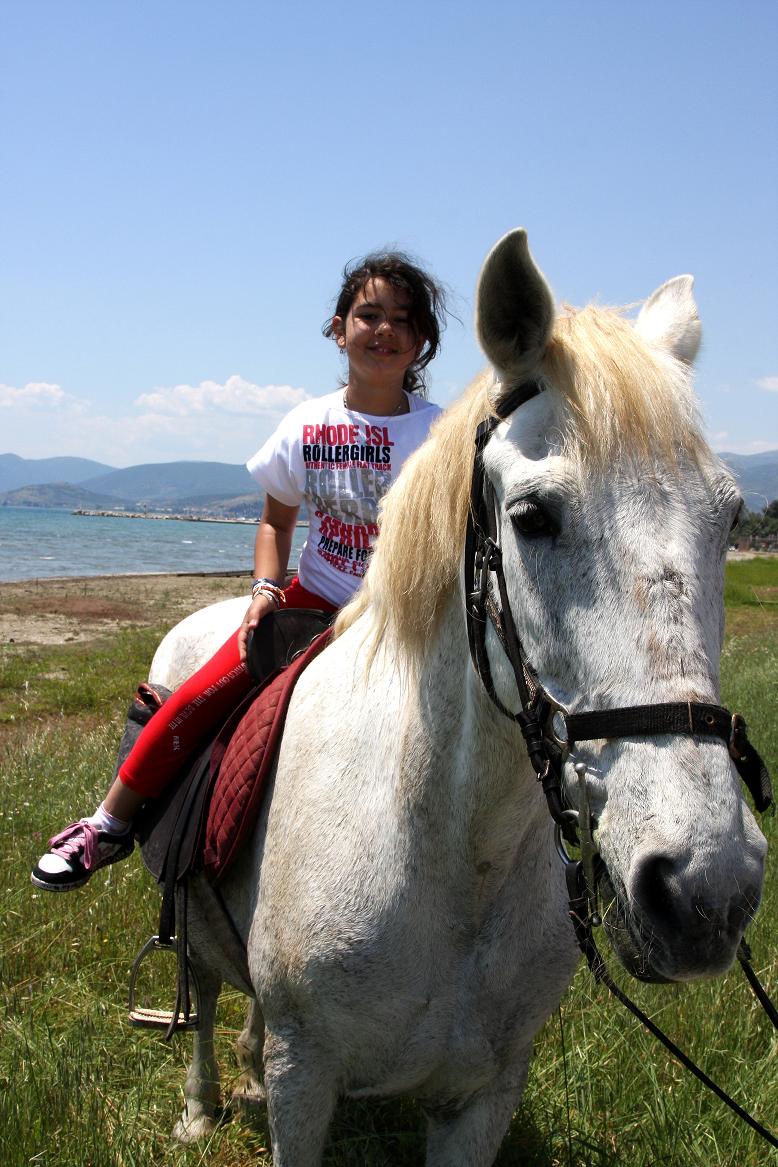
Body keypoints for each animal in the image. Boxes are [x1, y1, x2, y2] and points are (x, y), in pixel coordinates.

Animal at [145, 228, 767, 1165]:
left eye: (728, 519)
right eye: (533, 515)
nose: (706, 891)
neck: (451, 850)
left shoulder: (482, 1097)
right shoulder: (305, 1079)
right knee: (210, 999)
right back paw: (201, 1104)